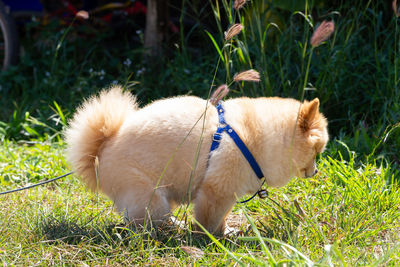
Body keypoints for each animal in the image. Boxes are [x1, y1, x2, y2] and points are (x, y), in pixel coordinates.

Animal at [65, 87, 328, 234]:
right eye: (317, 152)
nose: (316, 171)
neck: (254, 138)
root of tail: (100, 150)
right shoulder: (218, 190)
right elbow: (210, 219)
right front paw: (214, 237)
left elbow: (221, 216)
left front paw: (225, 231)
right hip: (149, 195)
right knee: (147, 223)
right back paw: (173, 229)